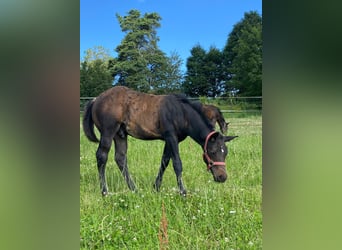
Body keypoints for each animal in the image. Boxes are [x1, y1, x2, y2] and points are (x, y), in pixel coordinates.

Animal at [83, 86, 238, 195]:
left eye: (225, 153)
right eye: (212, 151)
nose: (222, 177)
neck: (182, 113)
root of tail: (96, 99)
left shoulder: (171, 140)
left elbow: (165, 161)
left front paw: (156, 188)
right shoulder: (171, 137)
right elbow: (177, 164)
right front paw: (183, 192)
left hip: (120, 134)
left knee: (120, 158)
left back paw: (135, 190)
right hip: (108, 132)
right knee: (102, 156)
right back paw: (105, 192)